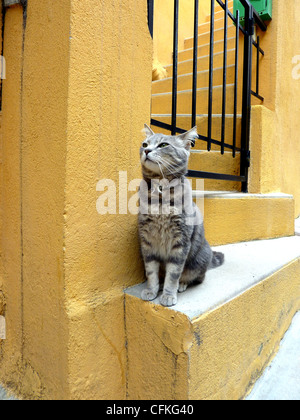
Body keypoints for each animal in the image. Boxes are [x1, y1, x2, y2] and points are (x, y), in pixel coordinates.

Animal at [138, 123, 225, 306]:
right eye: (145, 144)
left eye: (163, 145)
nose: (147, 151)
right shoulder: (147, 240)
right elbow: (151, 271)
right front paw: (151, 290)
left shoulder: (180, 241)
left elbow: (173, 274)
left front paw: (168, 295)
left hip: (197, 262)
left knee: (195, 277)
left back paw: (182, 285)